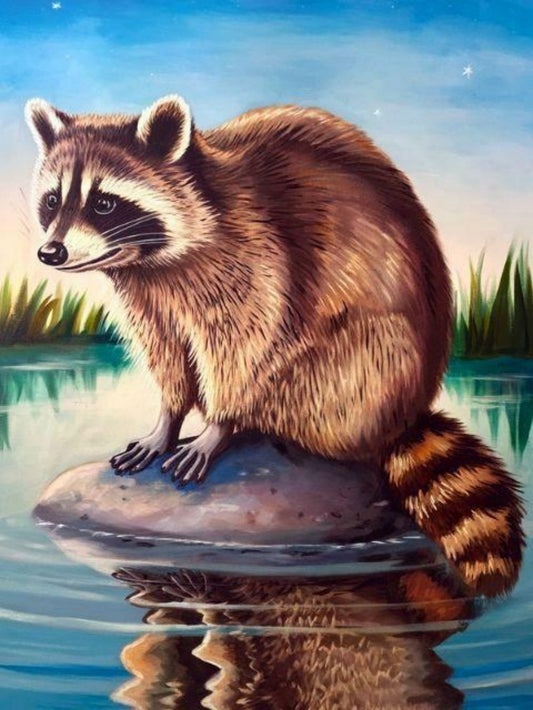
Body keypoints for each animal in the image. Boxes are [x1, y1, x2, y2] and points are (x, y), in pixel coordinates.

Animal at [25, 95, 524, 597]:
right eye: (52, 200)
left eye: (105, 203)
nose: (50, 253)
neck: (150, 261)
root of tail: (406, 413)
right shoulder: (149, 299)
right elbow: (166, 353)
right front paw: (167, 419)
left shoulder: (254, 262)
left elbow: (243, 348)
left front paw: (218, 426)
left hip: (366, 364)